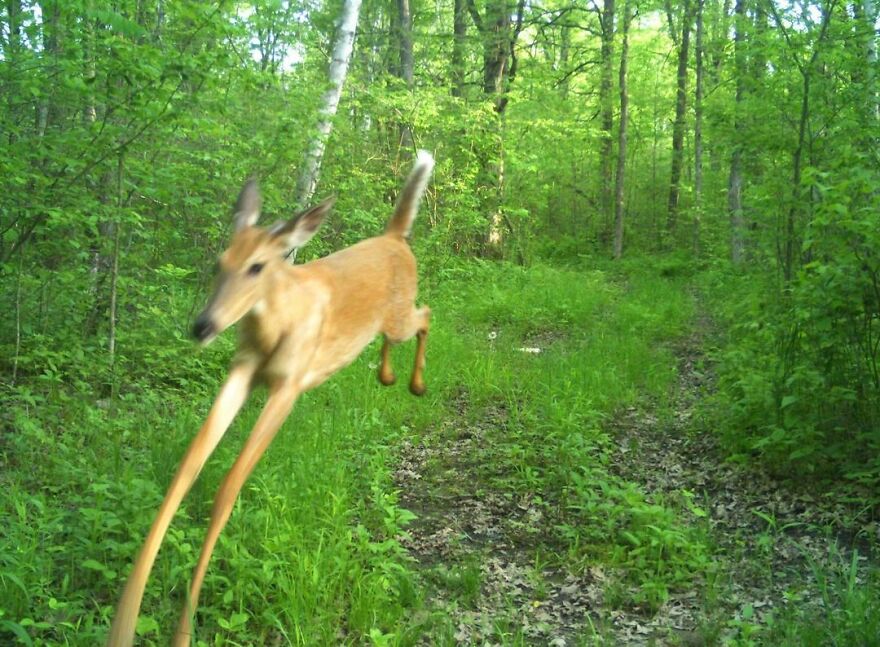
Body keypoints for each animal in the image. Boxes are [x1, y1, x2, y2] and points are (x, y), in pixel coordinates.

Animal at [106, 151, 435, 646]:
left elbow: (227, 489)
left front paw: (183, 633)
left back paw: (413, 384)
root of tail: (394, 237)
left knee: (427, 315)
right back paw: (388, 375)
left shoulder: (289, 386)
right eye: (219, 261)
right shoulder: (242, 371)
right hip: (385, 323)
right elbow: (184, 473)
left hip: (398, 315)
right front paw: (123, 625)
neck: (277, 325)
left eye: (258, 266)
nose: (202, 326)